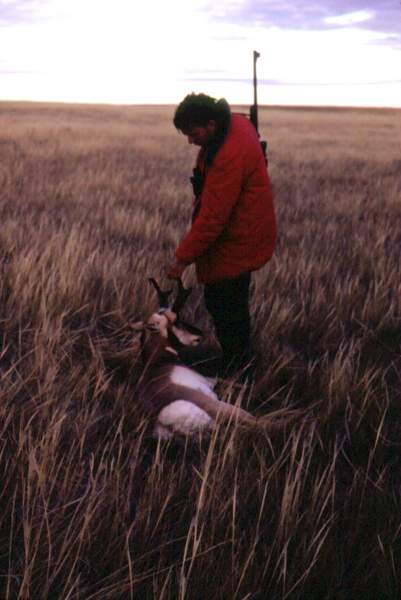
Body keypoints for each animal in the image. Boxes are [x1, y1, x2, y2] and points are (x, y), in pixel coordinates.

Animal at [131, 278, 256, 440]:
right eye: (176, 322)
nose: (199, 334)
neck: (157, 363)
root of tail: (163, 416)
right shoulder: (209, 380)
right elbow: (228, 381)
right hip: (226, 408)